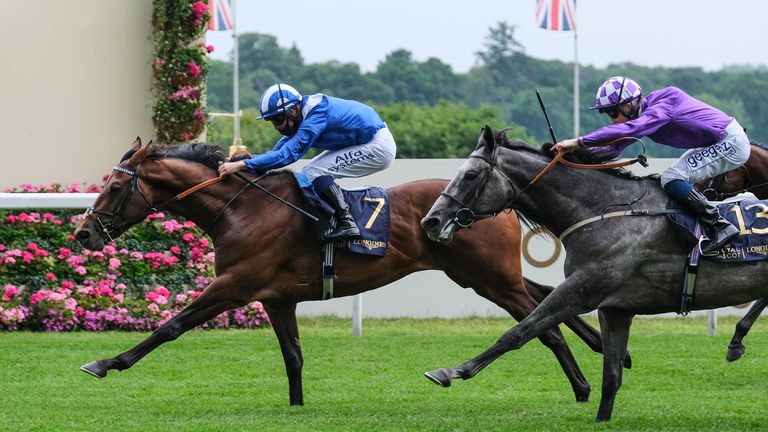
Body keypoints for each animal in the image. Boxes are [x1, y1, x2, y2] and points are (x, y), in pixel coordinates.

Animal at [72, 138, 612, 404]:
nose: (82, 234)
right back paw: (605, 350)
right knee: (547, 296)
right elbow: (293, 357)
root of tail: (497, 204)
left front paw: (105, 362)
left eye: (116, 187)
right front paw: (296, 406)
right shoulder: (277, 298)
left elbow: (171, 326)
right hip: (480, 275)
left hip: (489, 278)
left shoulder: (234, 285)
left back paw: (583, 388)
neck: (240, 208)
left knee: (543, 325)